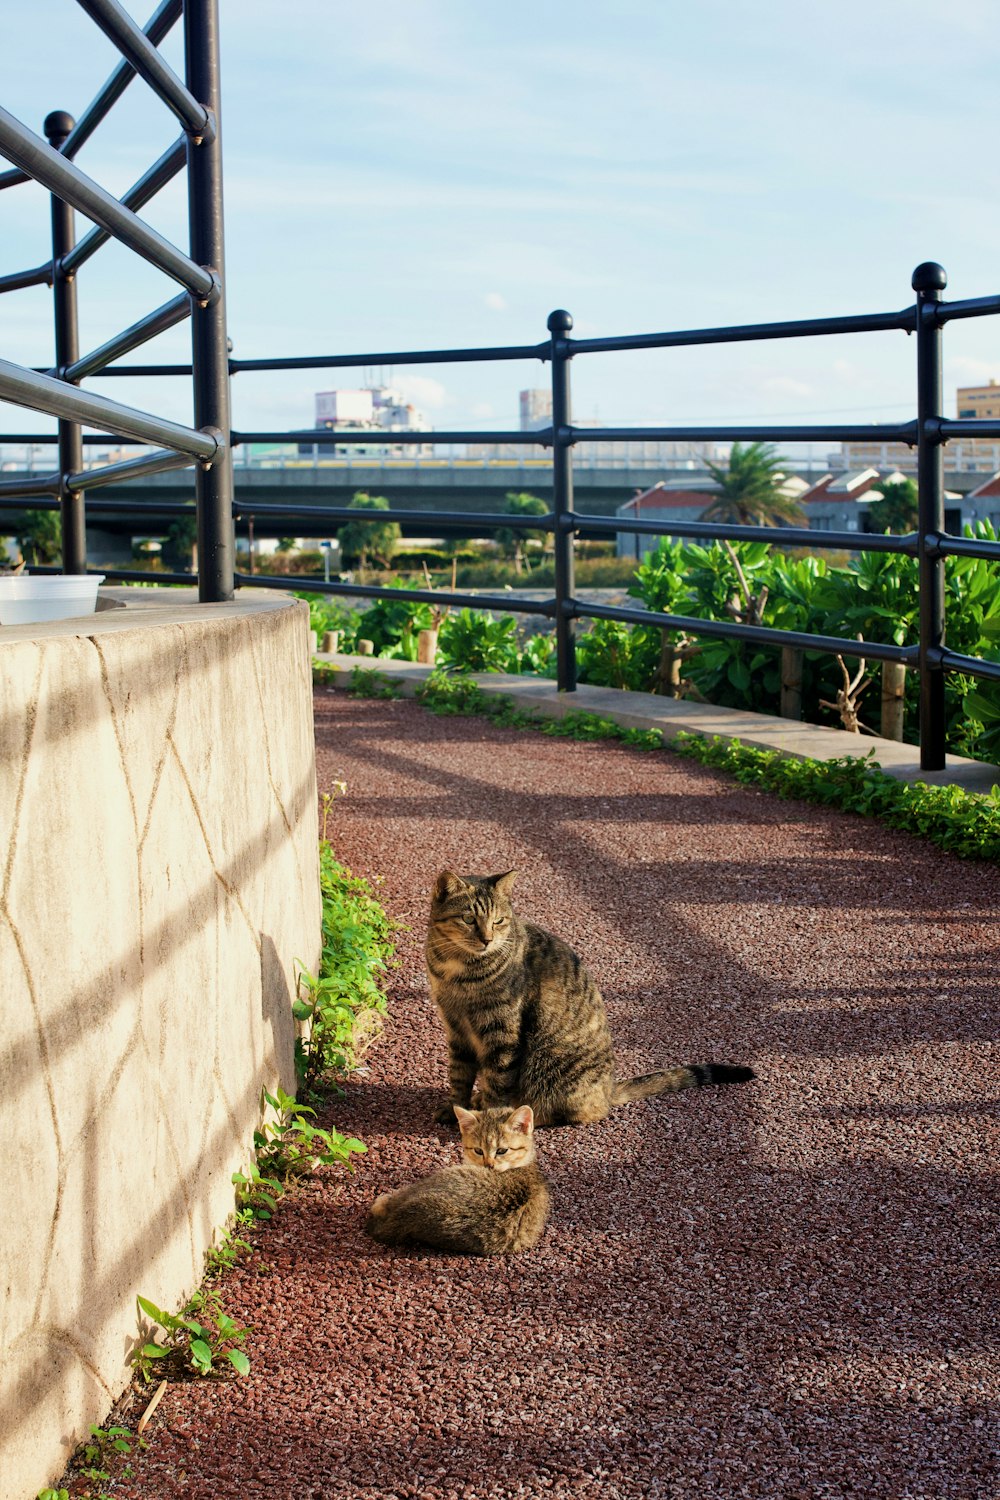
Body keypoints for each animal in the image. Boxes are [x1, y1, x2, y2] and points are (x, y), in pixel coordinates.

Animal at [425, 870, 755, 1128]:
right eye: (468, 918)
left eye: (499, 921)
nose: (487, 939)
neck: (458, 969)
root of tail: (609, 1089)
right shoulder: (455, 1027)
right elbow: (459, 1074)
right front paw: (456, 1107)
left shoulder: (501, 1032)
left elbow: (497, 1082)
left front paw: (489, 1121)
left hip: (550, 1069)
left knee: (573, 1111)